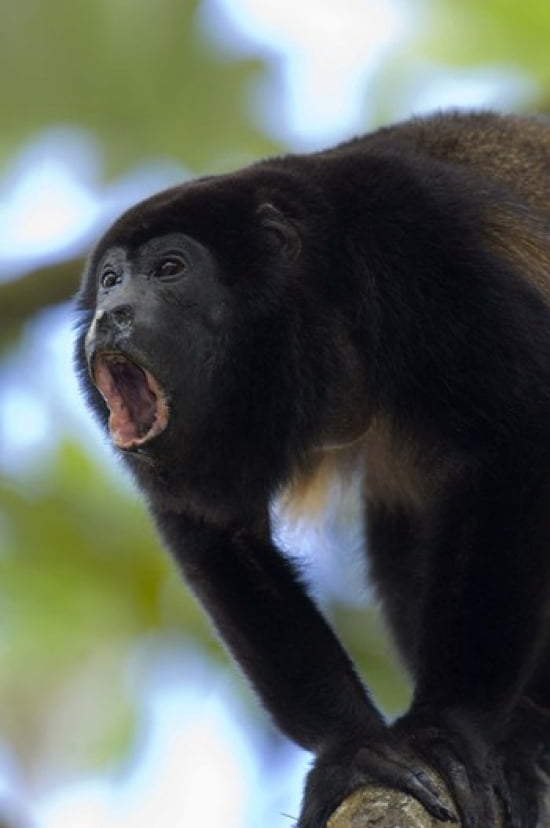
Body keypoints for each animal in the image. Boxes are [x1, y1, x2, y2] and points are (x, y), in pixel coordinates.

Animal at [75, 110, 550, 828]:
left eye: (169, 268)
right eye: (109, 280)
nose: (111, 316)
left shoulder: (418, 245)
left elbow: (516, 436)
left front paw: (450, 729)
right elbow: (217, 532)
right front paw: (352, 750)